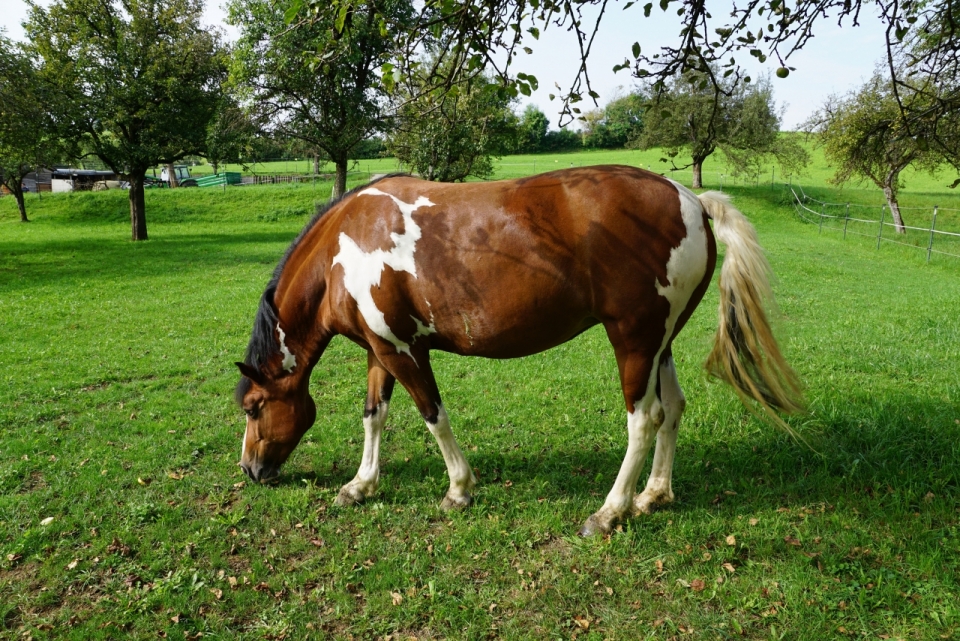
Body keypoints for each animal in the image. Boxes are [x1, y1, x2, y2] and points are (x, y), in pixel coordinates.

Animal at [234, 164, 804, 536]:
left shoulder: (405, 351)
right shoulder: (382, 350)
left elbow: (434, 417)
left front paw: (459, 490)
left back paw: (609, 512)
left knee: (645, 419)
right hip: (661, 343)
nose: (251, 471)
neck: (346, 245)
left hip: (634, 340)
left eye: (254, 407)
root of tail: (691, 199)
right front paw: (361, 485)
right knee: (674, 410)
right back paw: (653, 495)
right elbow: (374, 416)